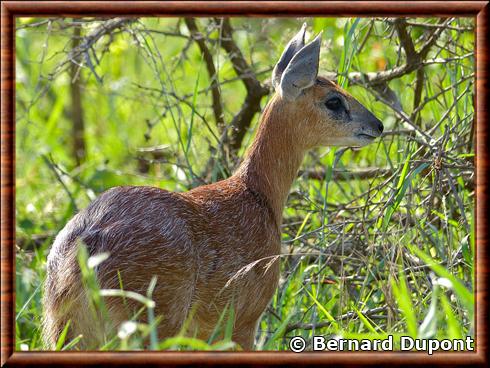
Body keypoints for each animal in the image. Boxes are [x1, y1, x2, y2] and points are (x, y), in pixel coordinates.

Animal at [43, 24, 382, 350]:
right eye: (334, 100)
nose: (377, 125)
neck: (259, 196)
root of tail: (84, 248)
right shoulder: (244, 319)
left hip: (65, 329)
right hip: (152, 321)